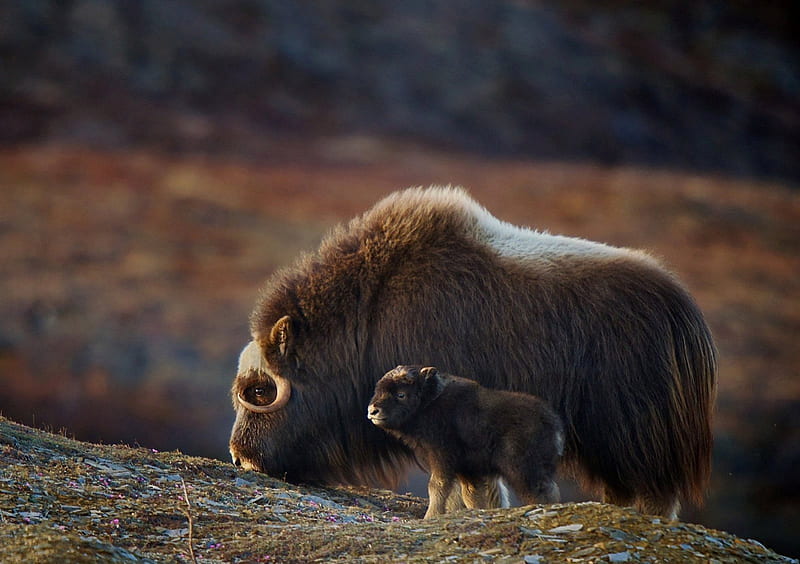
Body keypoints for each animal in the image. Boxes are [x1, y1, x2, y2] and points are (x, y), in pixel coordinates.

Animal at [368, 366, 564, 520]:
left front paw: (430, 516)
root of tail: (554, 425)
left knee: (542, 491)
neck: (429, 403)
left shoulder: (442, 458)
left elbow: (437, 486)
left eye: (401, 394)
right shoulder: (467, 469)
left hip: (524, 470)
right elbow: (470, 494)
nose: (372, 411)